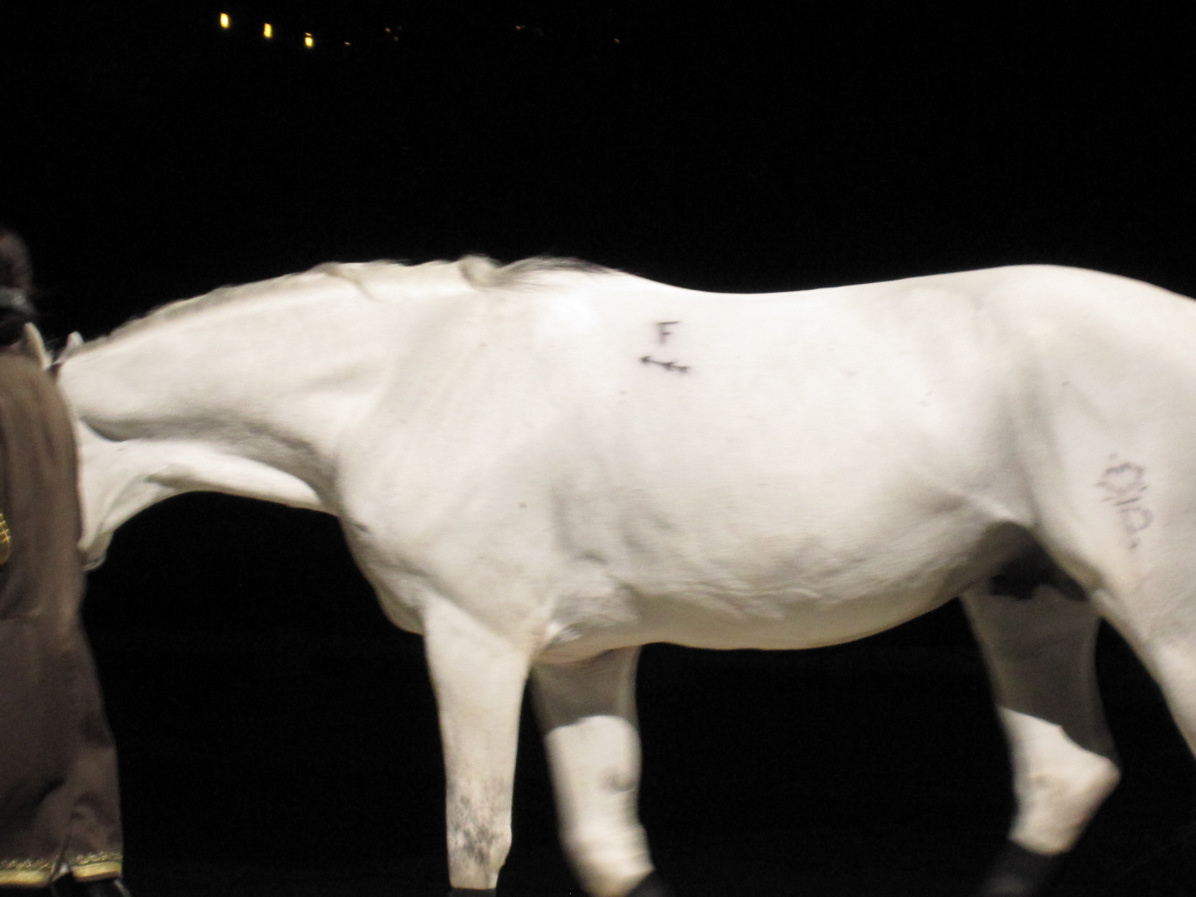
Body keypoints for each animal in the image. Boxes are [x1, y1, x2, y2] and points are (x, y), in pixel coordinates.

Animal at [52, 256, 1196, 897]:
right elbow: (605, 843)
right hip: (1025, 593)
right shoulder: (581, 657)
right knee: (1063, 775)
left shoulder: (474, 640)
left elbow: (477, 839)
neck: (411, 381)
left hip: (1158, 613)